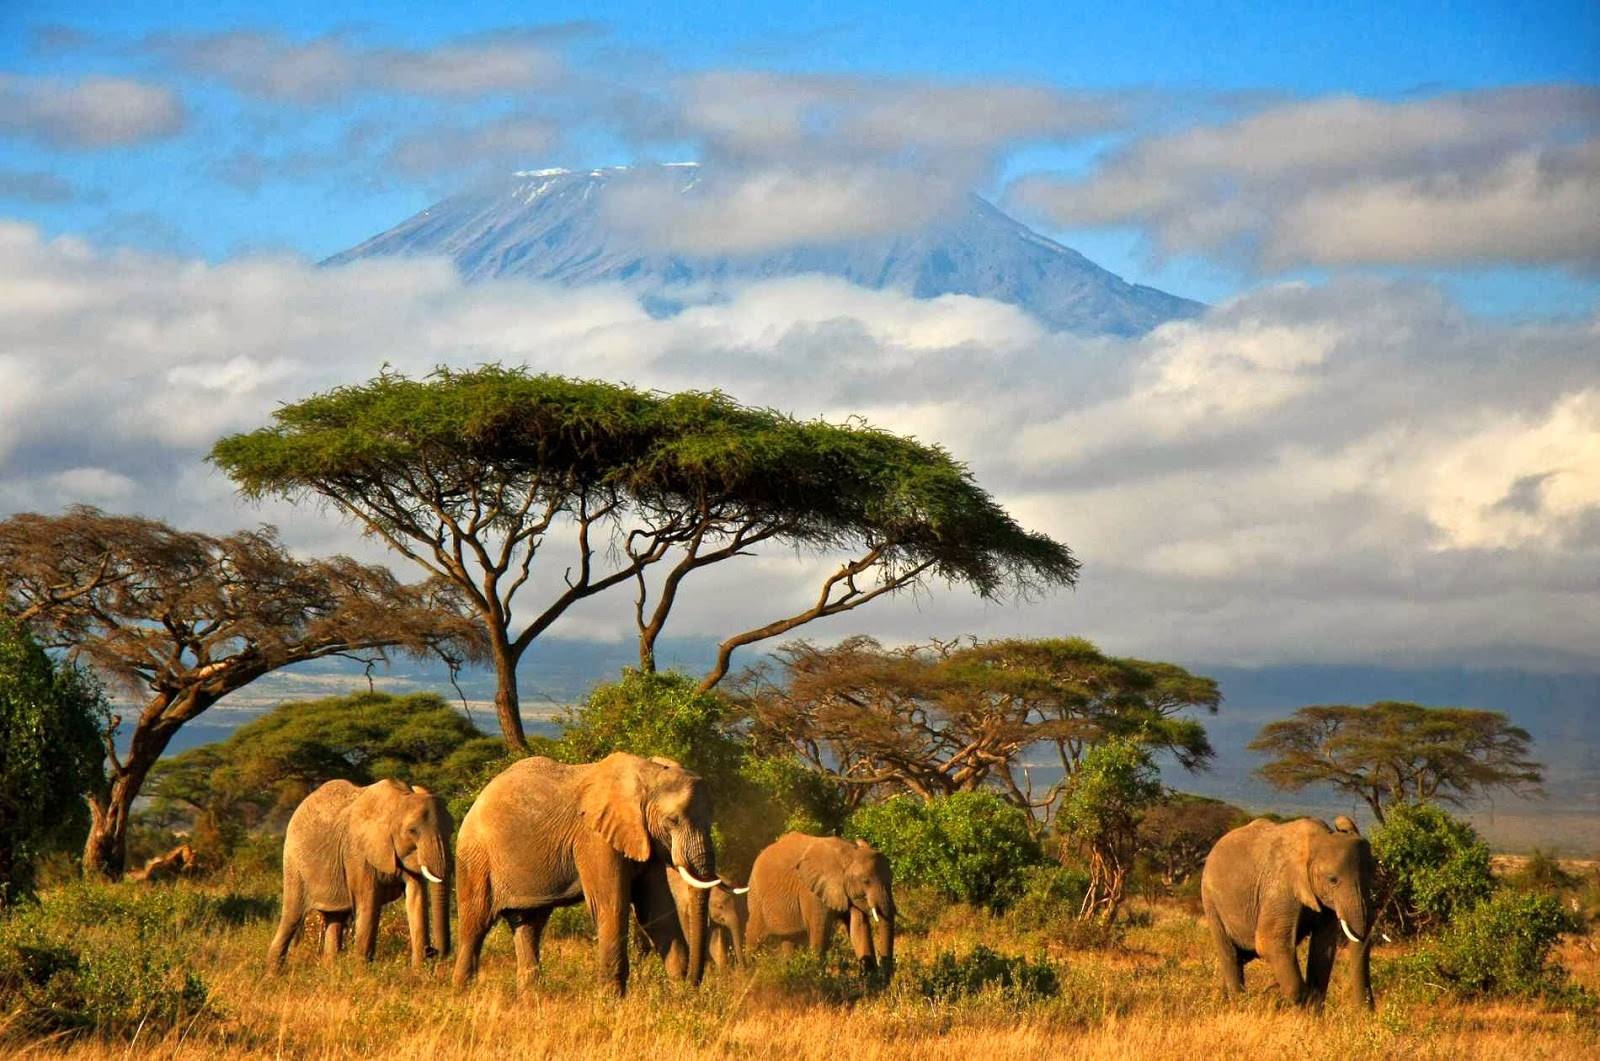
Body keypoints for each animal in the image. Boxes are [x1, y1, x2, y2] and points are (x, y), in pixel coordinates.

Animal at [268, 777, 454, 972]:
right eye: (412, 831)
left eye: (452, 830)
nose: (433, 951)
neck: (398, 799)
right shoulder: (357, 853)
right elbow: (369, 903)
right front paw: (362, 973)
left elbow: (416, 898)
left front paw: (418, 972)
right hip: (293, 864)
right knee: (292, 917)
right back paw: (273, 974)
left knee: (335, 918)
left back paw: (330, 971)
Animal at [451, 745, 726, 998]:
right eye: (672, 821)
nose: (694, 984)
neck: (647, 774)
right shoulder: (595, 838)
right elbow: (611, 906)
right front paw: (611, 1002)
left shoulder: (644, 837)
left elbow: (656, 911)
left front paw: (679, 996)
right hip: (475, 858)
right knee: (475, 924)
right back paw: (461, 994)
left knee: (529, 925)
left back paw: (531, 1000)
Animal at [742, 832, 896, 985]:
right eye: (865, 881)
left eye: (891, 878)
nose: (885, 978)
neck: (849, 854)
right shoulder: (811, 892)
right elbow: (820, 934)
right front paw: (819, 982)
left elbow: (858, 928)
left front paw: (870, 983)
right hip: (756, 900)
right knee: (754, 937)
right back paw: (748, 978)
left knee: (789, 941)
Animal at [1203, 816, 1376, 1011]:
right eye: (1333, 880)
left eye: (1373, 875)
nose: (1366, 1011)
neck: (1320, 839)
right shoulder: (1280, 887)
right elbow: (1268, 943)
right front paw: (1292, 1005)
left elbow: (1323, 949)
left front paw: (1312, 1013)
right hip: (1211, 902)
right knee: (1231, 957)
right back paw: (1239, 1006)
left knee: (1241, 958)